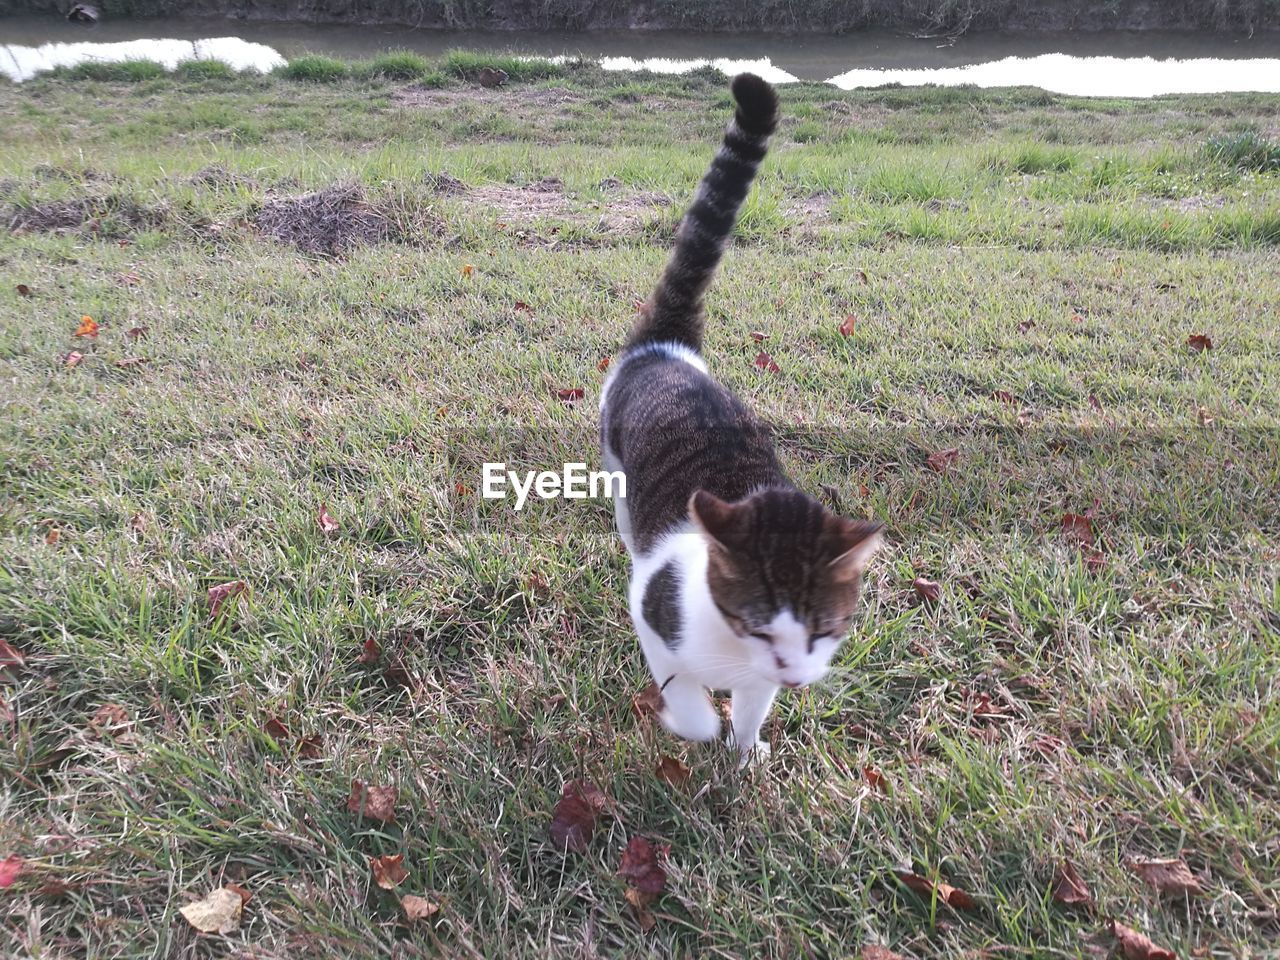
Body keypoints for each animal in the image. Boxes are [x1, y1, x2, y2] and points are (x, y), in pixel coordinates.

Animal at [596, 73, 880, 768]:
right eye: (760, 627)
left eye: (825, 630)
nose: (797, 676)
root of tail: (667, 347)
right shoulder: (654, 615)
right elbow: (686, 695)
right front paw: (693, 726)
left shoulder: (759, 684)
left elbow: (751, 715)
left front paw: (747, 756)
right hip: (616, 467)